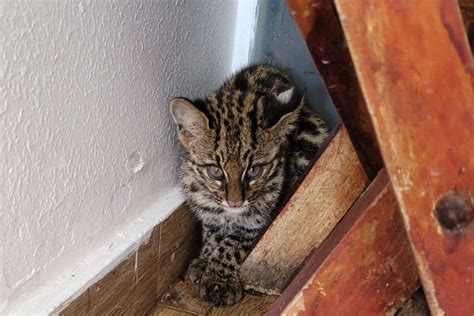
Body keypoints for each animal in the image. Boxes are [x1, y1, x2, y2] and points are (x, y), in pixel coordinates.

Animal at [170, 63, 330, 306]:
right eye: (215, 171)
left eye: (255, 170)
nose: (236, 203)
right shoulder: (208, 212)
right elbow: (212, 231)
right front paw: (205, 258)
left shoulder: (262, 218)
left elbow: (233, 244)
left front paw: (219, 280)